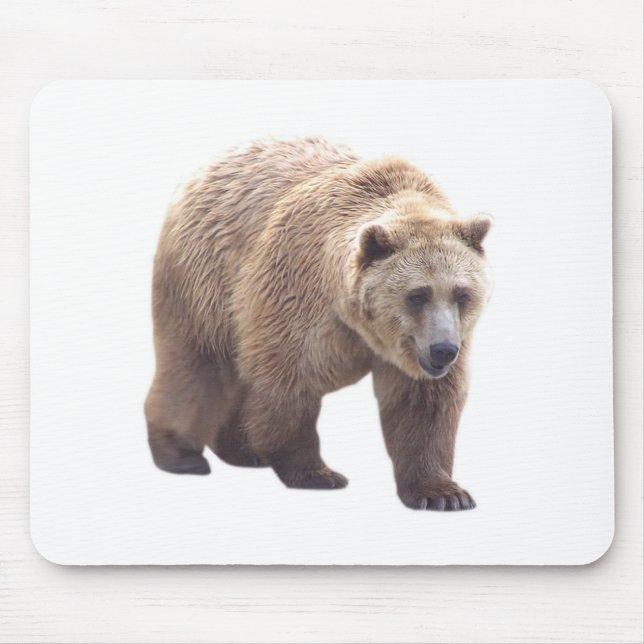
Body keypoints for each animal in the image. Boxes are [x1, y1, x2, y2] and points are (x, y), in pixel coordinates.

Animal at [144, 136, 491, 511]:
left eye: (462, 294)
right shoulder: (297, 298)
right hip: (204, 279)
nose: (443, 350)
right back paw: (181, 454)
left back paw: (242, 449)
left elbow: (423, 403)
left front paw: (443, 493)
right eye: (417, 295)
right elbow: (290, 382)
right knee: (196, 365)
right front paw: (317, 473)